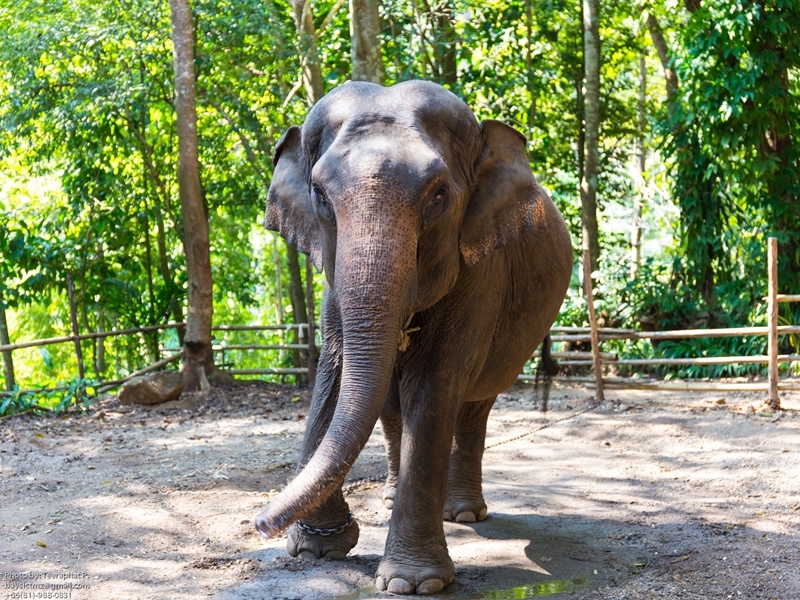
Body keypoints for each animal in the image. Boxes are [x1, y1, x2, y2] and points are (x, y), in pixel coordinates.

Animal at [256, 80, 573, 595]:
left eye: (440, 195)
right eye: (319, 193)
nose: (261, 522)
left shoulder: (480, 273)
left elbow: (433, 386)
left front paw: (412, 582)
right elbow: (335, 373)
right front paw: (319, 548)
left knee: (473, 407)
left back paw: (462, 513)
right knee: (390, 407)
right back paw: (390, 498)